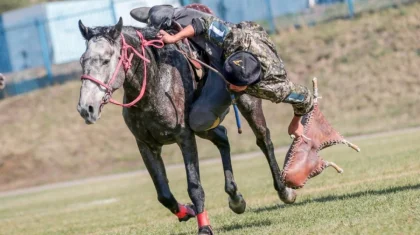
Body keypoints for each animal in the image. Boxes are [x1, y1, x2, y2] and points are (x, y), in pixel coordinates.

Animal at [77, 18, 294, 235]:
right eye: (82, 61)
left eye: (106, 60)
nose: (86, 108)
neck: (155, 81)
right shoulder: (145, 144)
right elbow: (163, 193)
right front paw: (187, 211)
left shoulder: (185, 138)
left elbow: (194, 186)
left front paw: (204, 226)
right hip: (205, 125)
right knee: (223, 137)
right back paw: (235, 198)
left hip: (248, 103)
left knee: (263, 140)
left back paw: (284, 190)